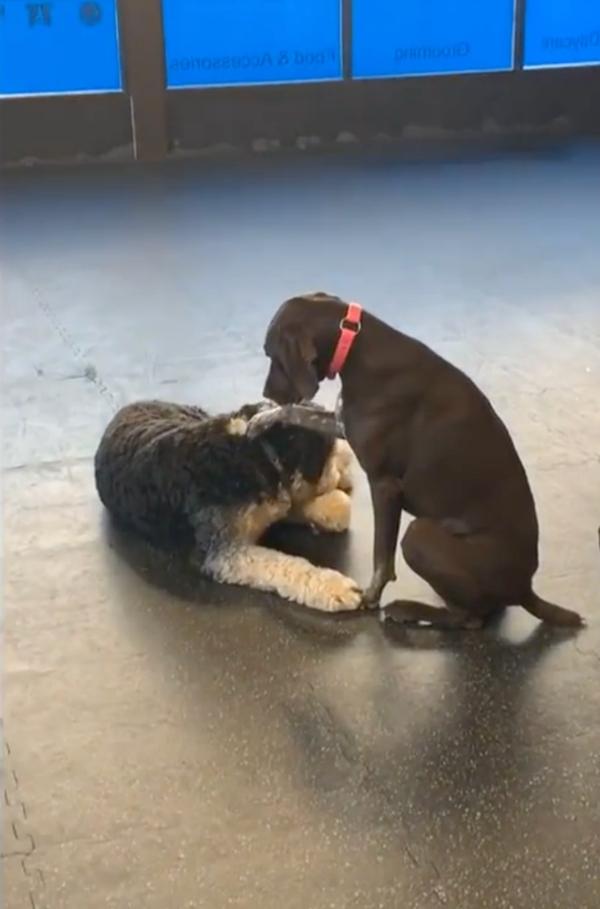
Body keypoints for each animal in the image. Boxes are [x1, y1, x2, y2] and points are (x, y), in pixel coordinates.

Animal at [251, 294, 584, 628]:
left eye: (271, 353)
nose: (266, 392)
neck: (357, 347)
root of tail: (524, 589)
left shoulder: (384, 485)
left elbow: (381, 558)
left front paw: (369, 598)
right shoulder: (341, 424)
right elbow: (296, 411)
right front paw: (260, 419)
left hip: (418, 535)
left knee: (469, 618)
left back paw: (411, 611)